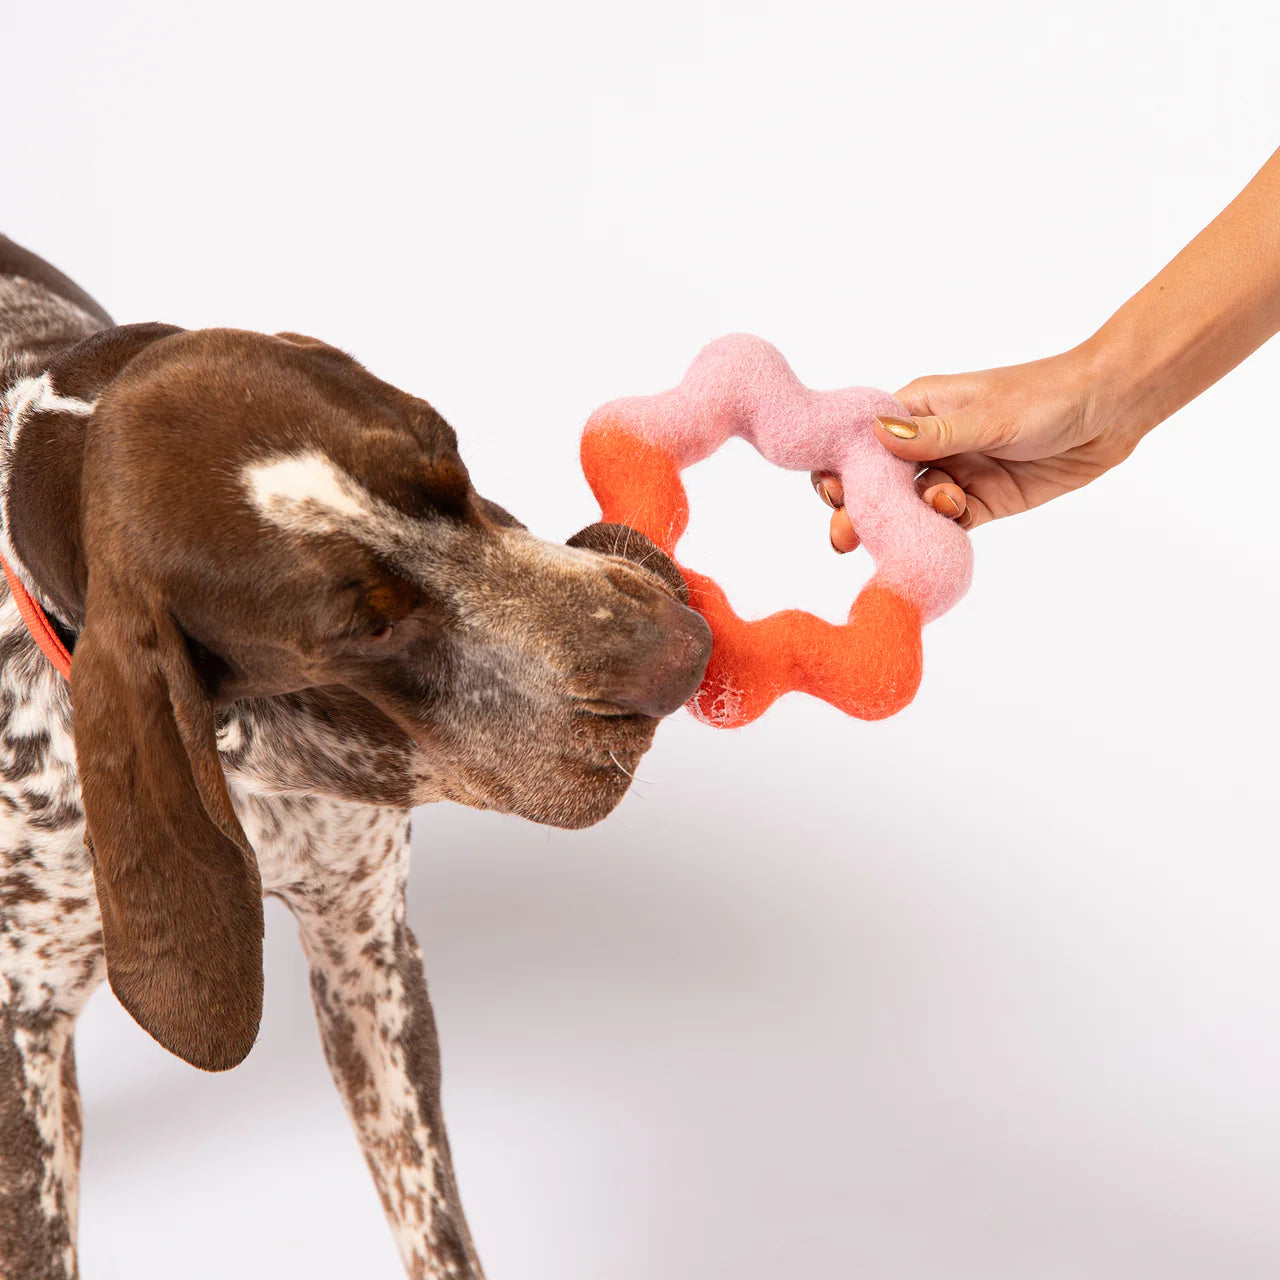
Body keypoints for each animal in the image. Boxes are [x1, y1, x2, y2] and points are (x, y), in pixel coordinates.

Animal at [0, 235, 711, 1274]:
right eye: (360, 631)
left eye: (452, 456)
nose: (686, 653)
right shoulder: (24, 1037)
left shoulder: (366, 947)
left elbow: (435, 1225)